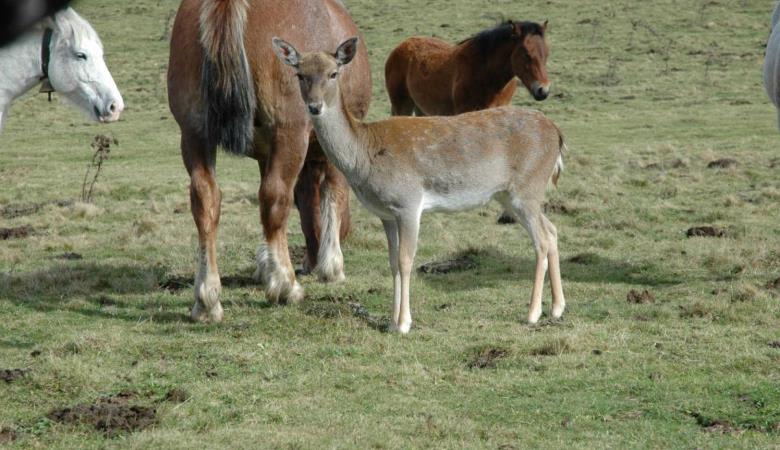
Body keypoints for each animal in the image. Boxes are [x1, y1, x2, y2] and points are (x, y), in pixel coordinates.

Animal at [167, 0, 371, 323]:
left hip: (193, 133)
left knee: (206, 201)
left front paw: (267, 266)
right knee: (275, 197)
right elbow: (333, 192)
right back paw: (287, 286)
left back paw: (207, 298)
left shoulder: (266, 153)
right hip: (288, 132)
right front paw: (331, 265)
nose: (310, 262)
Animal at [272, 36, 566, 334]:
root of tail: (558, 133)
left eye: (334, 73)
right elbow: (392, 262)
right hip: (511, 195)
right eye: (299, 74)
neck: (364, 154)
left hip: (527, 188)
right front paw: (391, 321)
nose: (314, 106)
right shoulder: (385, 213)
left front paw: (404, 323)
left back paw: (532, 313)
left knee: (541, 239)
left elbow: (405, 260)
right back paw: (557, 308)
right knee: (552, 230)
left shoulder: (408, 202)